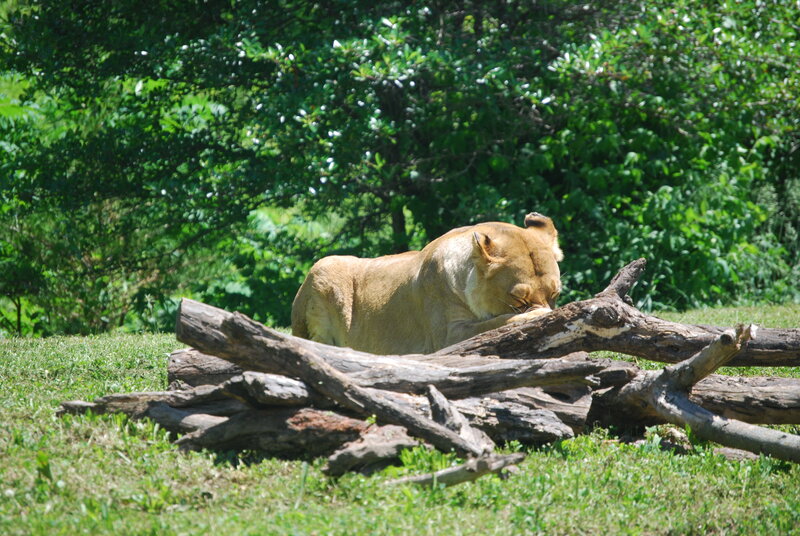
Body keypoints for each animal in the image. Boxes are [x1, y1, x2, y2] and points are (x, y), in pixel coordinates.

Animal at [291, 212, 563, 355]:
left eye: (555, 294)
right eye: (518, 299)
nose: (548, 309)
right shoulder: (448, 336)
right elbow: (497, 322)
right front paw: (537, 316)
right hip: (325, 267)